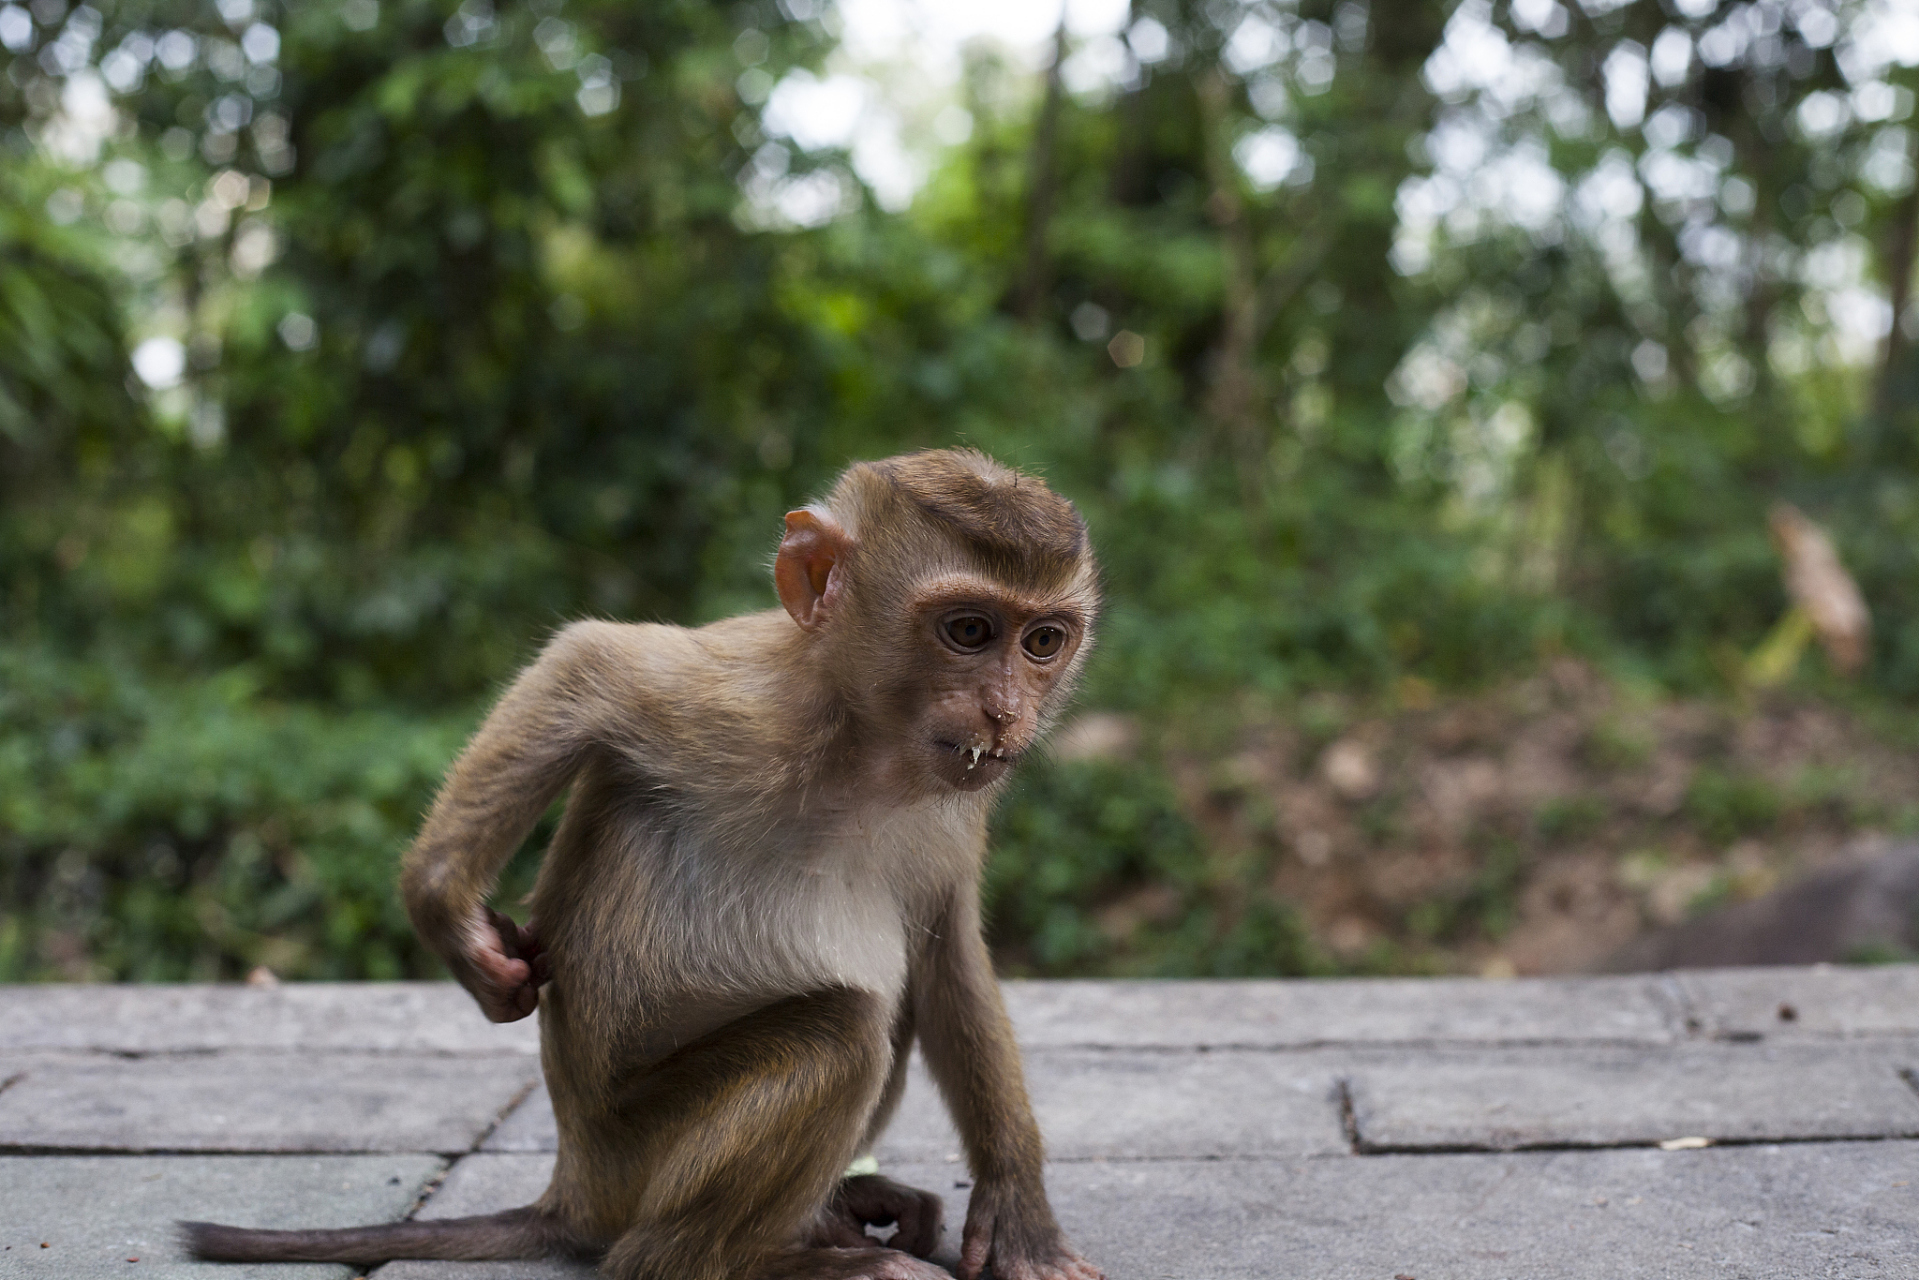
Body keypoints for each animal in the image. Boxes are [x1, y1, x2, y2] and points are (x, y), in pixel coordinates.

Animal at [183, 450, 1113, 1280]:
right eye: (968, 631)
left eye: (1042, 641)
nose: (1005, 712)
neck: (862, 746)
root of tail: (572, 1191)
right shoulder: (737, 701)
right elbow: (587, 661)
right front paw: (444, 907)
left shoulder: (956, 807)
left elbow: (946, 951)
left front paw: (1017, 1211)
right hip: (635, 1154)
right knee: (841, 1034)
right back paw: (762, 1261)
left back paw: (833, 1220)